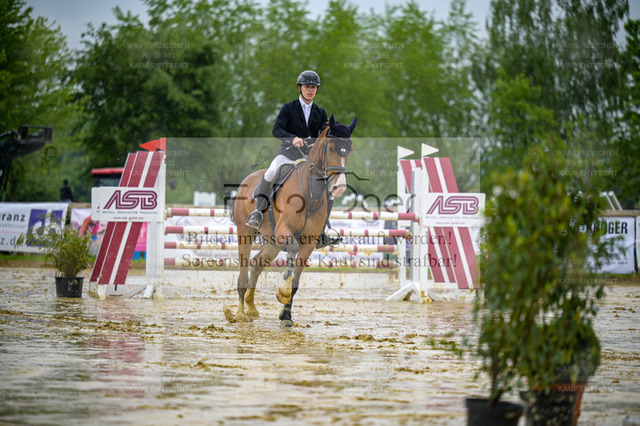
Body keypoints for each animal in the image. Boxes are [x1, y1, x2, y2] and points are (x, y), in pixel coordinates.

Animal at [232, 115, 356, 326]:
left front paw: (286, 315)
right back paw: (240, 313)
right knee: (243, 269)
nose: (339, 187)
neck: (311, 191)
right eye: (331, 148)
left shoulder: (309, 242)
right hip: (246, 232)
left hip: (272, 242)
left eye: (349, 149)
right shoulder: (285, 231)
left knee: (256, 264)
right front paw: (283, 291)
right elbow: (292, 251)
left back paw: (251, 307)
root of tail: (247, 180)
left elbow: (297, 281)